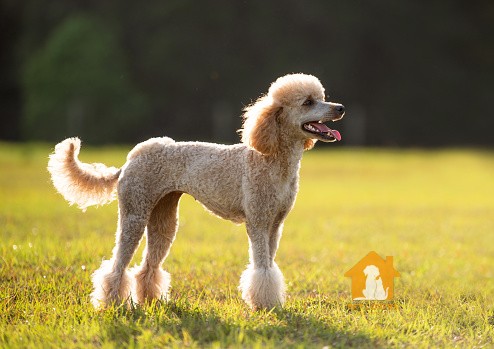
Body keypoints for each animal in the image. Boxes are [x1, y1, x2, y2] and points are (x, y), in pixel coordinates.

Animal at [48, 72, 346, 308]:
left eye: (322, 97)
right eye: (308, 102)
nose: (340, 108)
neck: (271, 158)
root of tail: (129, 162)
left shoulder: (275, 225)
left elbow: (268, 266)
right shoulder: (258, 222)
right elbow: (262, 269)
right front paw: (265, 305)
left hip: (164, 217)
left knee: (148, 266)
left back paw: (151, 300)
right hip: (134, 213)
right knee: (117, 265)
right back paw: (112, 303)